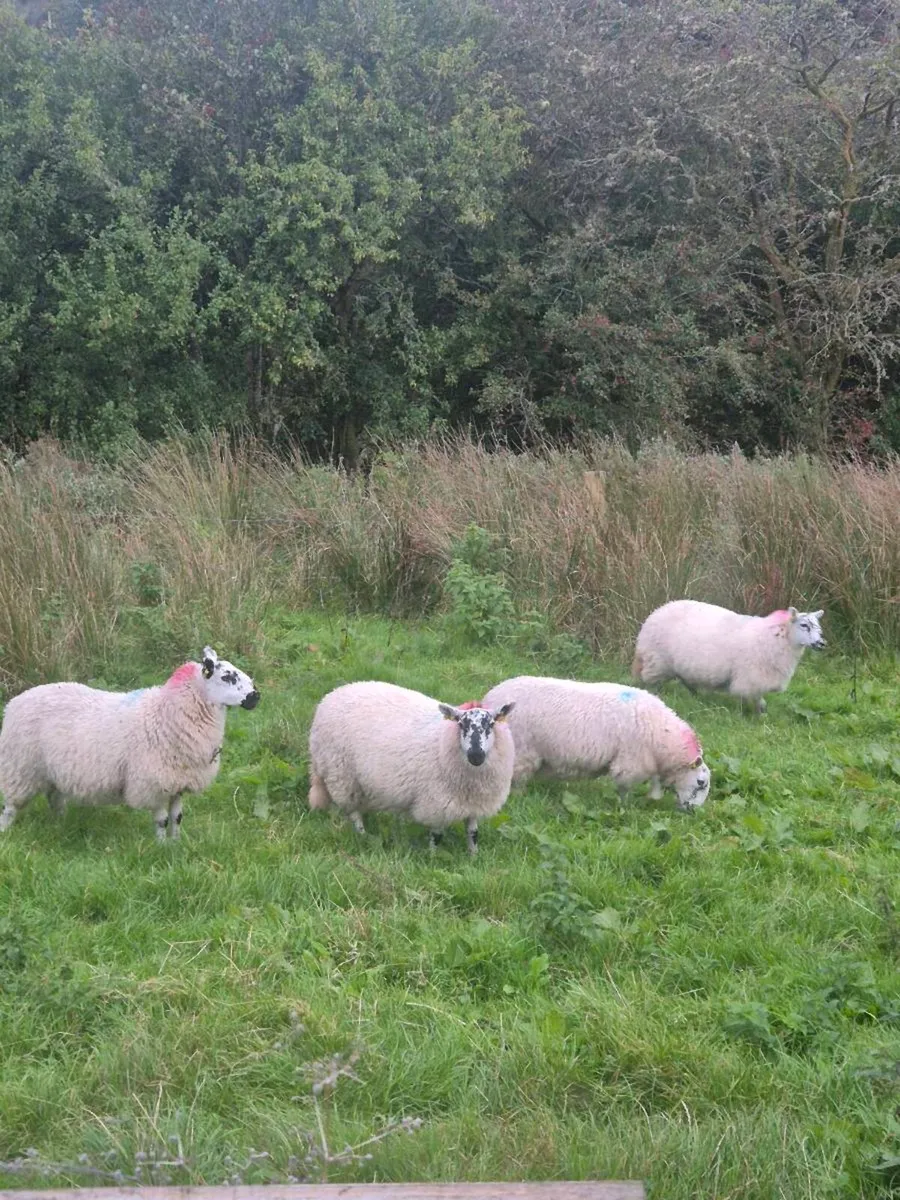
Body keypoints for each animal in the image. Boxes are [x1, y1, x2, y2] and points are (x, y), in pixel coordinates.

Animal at [0, 647, 260, 840]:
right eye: (227, 677)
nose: (256, 697)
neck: (167, 711)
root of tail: (16, 701)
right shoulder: (154, 782)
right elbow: (162, 820)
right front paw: (161, 847)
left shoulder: (178, 781)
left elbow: (177, 817)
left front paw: (176, 843)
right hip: (21, 767)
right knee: (11, 806)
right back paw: (5, 832)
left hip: (52, 770)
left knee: (54, 798)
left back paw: (60, 824)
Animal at [307, 681, 516, 854]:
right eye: (461, 724)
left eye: (491, 724)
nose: (476, 756)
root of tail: (332, 694)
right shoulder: (436, 802)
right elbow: (436, 835)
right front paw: (432, 857)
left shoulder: (473, 803)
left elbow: (472, 833)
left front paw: (473, 856)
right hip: (342, 775)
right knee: (353, 812)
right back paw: (363, 835)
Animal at [481, 676, 710, 811]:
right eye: (701, 783)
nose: (693, 812)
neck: (663, 737)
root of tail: (490, 699)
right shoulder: (631, 763)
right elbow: (624, 788)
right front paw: (625, 807)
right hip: (521, 749)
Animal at [632, 600, 826, 713]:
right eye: (804, 625)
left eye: (818, 627)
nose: (822, 643)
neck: (779, 637)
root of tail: (657, 610)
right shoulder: (752, 677)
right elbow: (758, 699)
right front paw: (758, 715)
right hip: (657, 660)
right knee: (652, 682)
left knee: (686, 680)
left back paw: (696, 696)